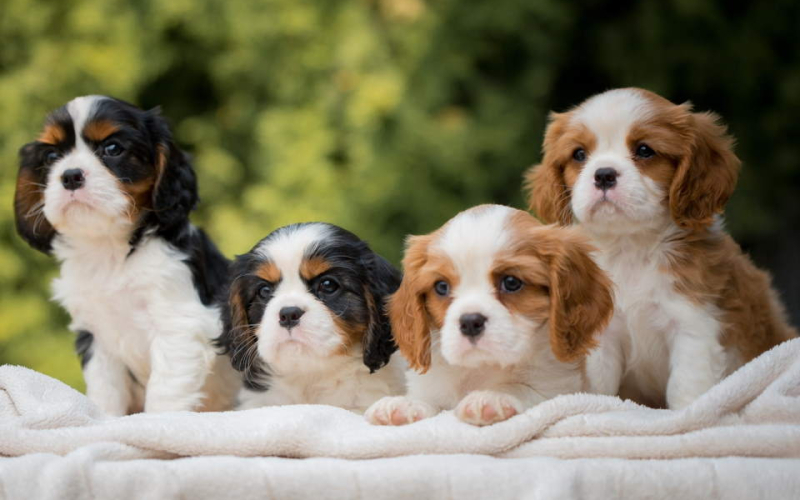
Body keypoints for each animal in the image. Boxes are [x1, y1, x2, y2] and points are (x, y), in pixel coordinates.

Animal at [368, 205, 612, 428]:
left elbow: (525, 389)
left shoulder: (559, 389)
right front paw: (405, 403)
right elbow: (429, 399)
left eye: (511, 282)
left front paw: (492, 396)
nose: (469, 322)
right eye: (441, 287)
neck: (481, 367)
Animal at [528, 89, 796, 410]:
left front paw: (687, 417)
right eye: (579, 154)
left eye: (645, 150)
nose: (603, 174)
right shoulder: (601, 335)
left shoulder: (694, 328)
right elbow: (597, 384)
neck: (630, 246)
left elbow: (685, 387)